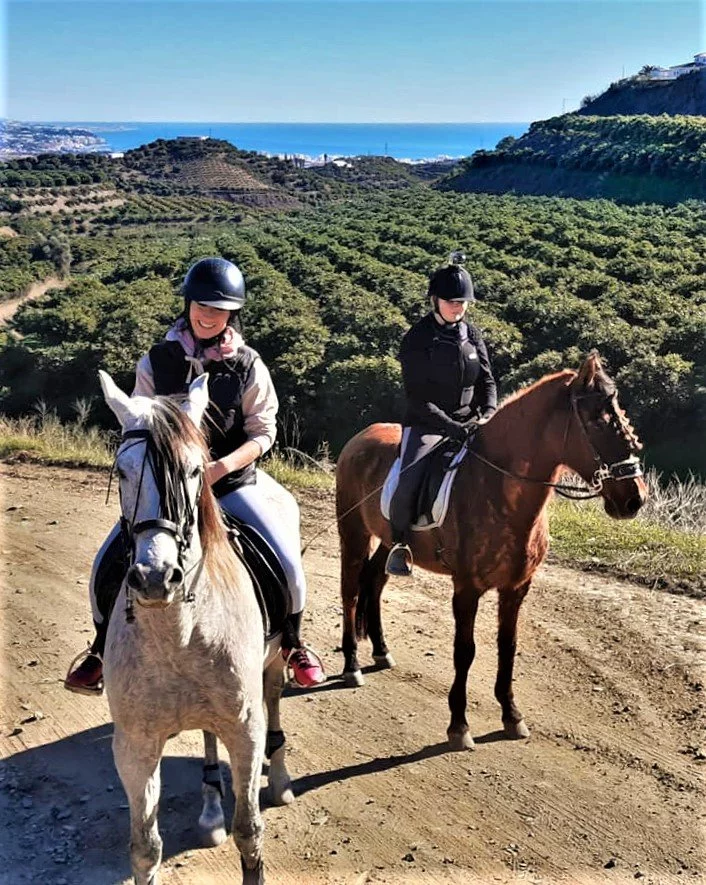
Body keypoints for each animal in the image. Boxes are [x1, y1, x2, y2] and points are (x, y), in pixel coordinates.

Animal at [334, 350, 644, 744]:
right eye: (599, 422)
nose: (635, 499)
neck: (498, 486)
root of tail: (360, 438)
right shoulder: (467, 588)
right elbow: (465, 651)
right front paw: (458, 724)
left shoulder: (516, 588)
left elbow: (507, 648)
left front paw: (512, 715)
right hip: (353, 533)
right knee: (350, 591)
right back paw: (351, 665)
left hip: (388, 543)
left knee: (374, 581)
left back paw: (381, 651)